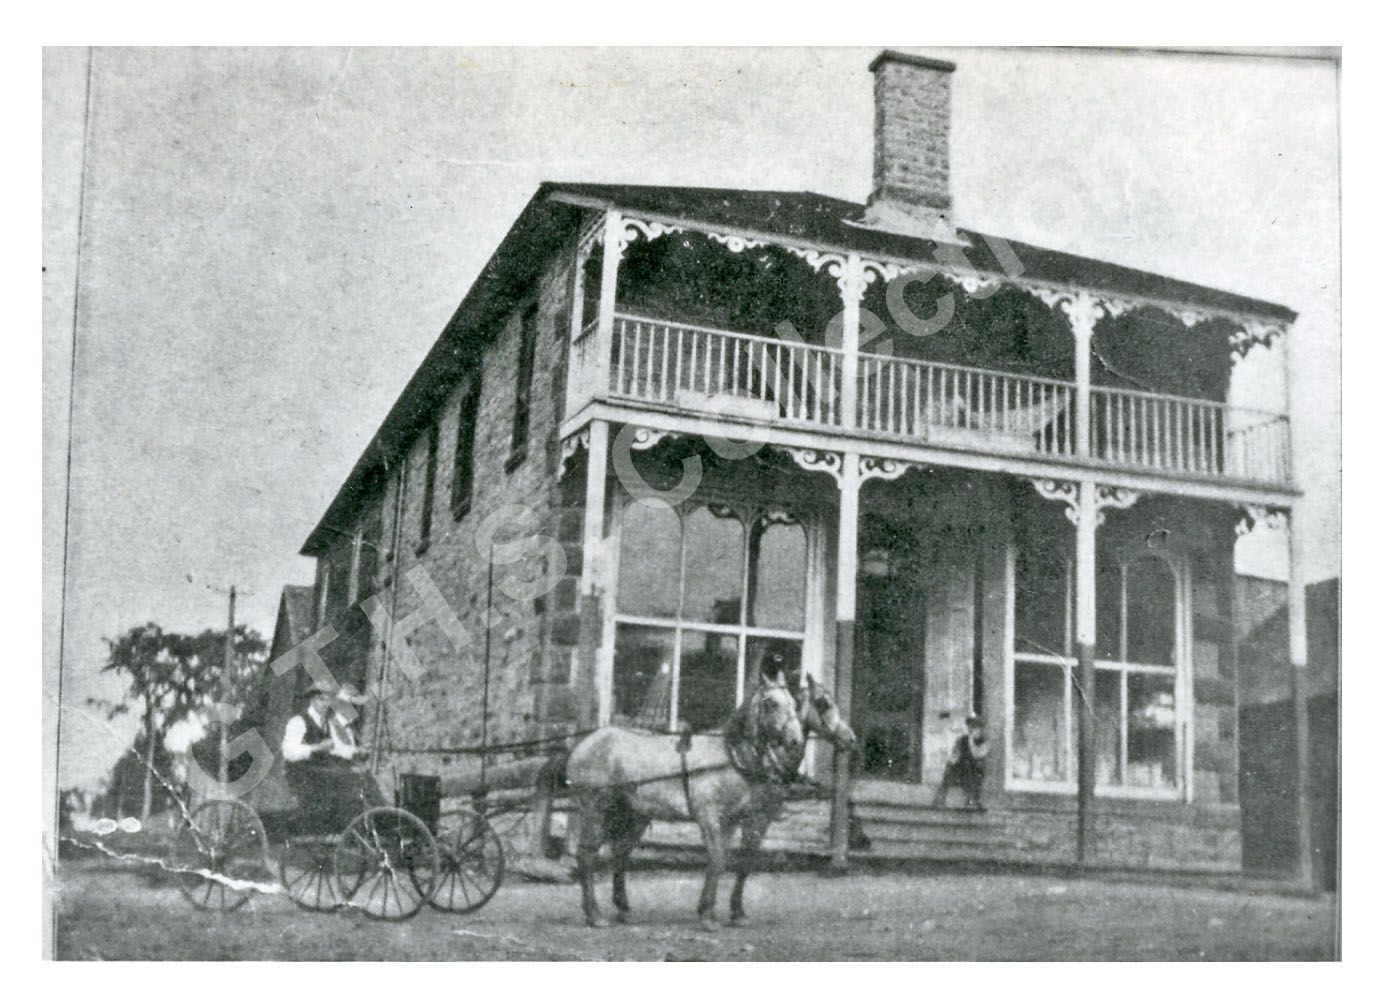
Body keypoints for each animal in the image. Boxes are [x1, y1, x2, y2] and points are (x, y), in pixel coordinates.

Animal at [564, 675, 856, 930]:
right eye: (822, 703)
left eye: (795, 705)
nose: (850, 739)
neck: (734, 756)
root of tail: (584, 743)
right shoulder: (715, 817)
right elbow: (717, 860)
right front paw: (708, 916)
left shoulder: (737, 819)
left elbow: (739, 861)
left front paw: (734, 913)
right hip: (595, 809)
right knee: (587, 854)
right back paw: (594, 915)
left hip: (633, 814)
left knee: (620, 853)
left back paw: (623, 910)